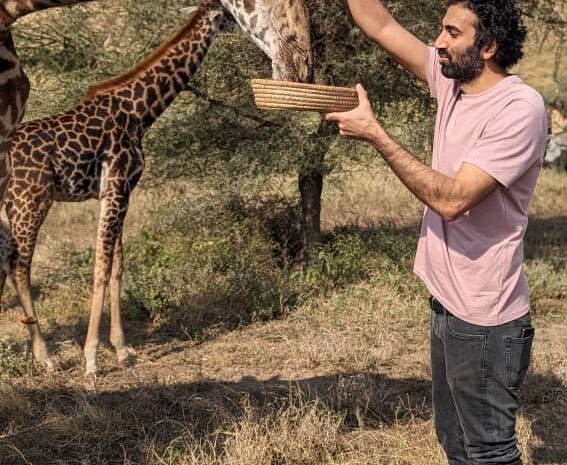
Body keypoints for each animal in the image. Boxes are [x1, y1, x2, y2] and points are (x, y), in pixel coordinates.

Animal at [1, 2, 233, 374]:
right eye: (225, 12)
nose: (236, 23)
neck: (141, 111)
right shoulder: (116, 186)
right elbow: (101, 266)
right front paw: (92, 357)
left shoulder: (119, 192)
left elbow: (118, 266)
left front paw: (122, 349)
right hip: (30, 200)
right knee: (19, 265)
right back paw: (45, 356)